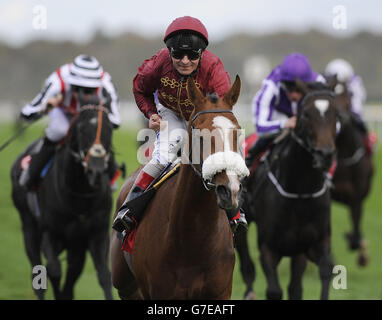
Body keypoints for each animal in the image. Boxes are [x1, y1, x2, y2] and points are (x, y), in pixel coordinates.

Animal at [10, 100, 113, 300]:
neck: (80, 196)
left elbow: (104, 274)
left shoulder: (96, 234)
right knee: (38, 273)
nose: (95, 171)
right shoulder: (50, 233)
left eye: (109, 128)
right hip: (29, 226)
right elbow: (54, 270)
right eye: (80, 129)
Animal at [110, 75, 249, 300]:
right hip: (126, 286)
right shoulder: (159, 292)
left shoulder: (220, 292)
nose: (230, 190)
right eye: (200, 134)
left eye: (237, 133)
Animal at [237, 80, 338, 300]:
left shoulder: (317, 241)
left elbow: (324, 271)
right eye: (306, 114)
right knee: (246, 265)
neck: (301, 191)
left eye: (336, 114)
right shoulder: (268, 247)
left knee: (295, 286)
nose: (325, 155)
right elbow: (274, 290)